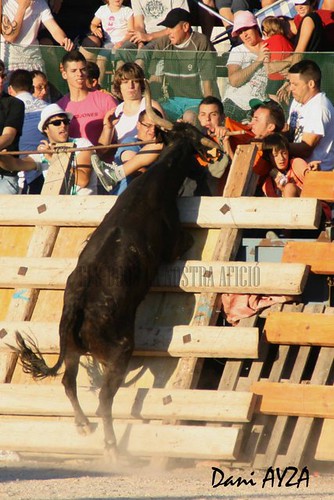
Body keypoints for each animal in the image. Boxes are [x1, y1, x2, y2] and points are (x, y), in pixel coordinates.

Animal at [15, 119, 218, 458]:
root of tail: (78, 307)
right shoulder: (175, 243)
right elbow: (185, 241)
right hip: (120, 351)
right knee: (103, 400)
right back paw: (112, 447)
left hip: (71, 349)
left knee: (68, 382)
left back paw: (83, 425)